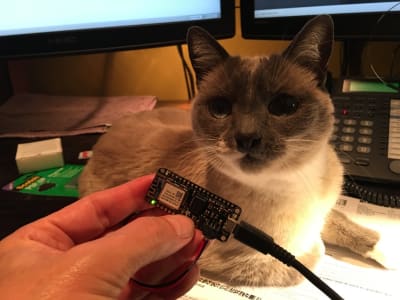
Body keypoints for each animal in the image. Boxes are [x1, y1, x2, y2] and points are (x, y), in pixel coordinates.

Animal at [79, 15, 394, 286]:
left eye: (284, 106)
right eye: (220, 108)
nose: (246, 138)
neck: (292, 181)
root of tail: (110, 129)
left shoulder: (322, 208)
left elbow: (339, 221)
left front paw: (384, 253)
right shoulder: (230, 255)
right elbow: (309, 255)